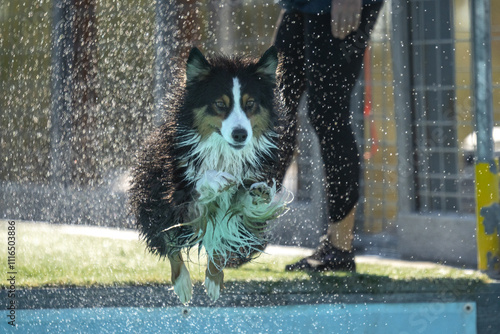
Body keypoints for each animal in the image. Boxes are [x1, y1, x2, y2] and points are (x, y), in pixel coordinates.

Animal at [129, 47, 292, 306]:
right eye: (219, 104)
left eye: (250, 103)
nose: (239, 134)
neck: (224, 151)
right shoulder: (175, 192)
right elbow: (201, 185)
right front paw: (216, 179)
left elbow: (235, 215)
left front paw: (214, 277)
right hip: (153, 197)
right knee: (169, 240)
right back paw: (182, 284)